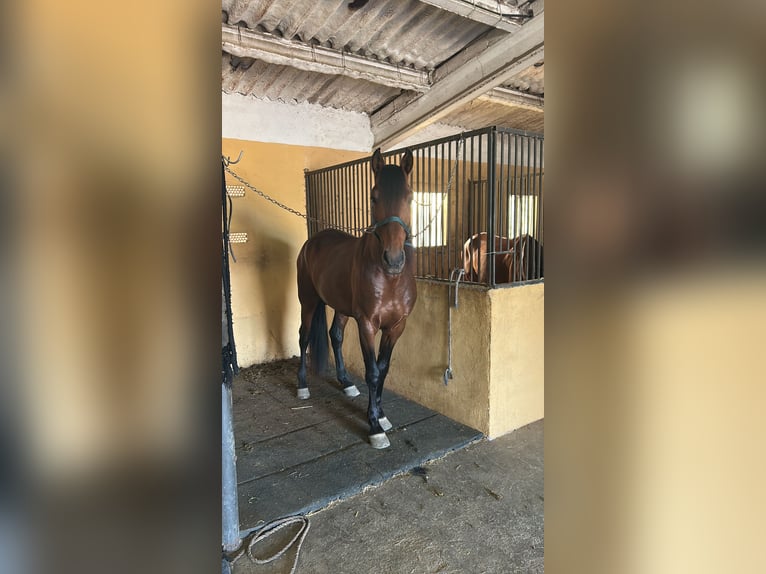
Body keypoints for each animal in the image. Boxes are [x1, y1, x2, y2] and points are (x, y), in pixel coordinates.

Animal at [296, 148, 417, 449]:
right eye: (373, 197)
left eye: (409, 196)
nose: (393, 259)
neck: (390, 280)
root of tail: (312, 242)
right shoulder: (367, 325)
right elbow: (372, 371)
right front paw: (374, 427)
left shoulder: (396, 327)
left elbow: (383, 369)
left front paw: (381, 414)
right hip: (308, 301)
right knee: (303, 337)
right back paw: (302, 386)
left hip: (340, 307)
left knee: (335, 335)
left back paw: (346, 383)